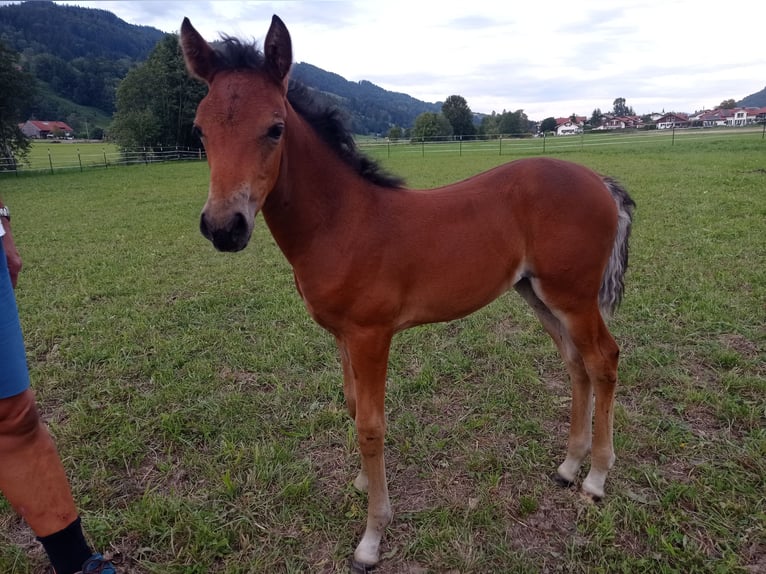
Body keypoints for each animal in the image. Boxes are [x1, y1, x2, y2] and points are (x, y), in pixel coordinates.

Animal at [180, 15, 636, 572]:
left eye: (275, 127)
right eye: (200, 130)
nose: (224, 228)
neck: (342, 222)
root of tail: (599, 180)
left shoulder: (371, 335)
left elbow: (372, 425)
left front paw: (372, 537)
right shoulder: (341, 335)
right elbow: (352, 406)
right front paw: (361, 482)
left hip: (574, 296)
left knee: (603, 359)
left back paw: (595, 478)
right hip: (538, 294)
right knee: (576, 363)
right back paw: (569, 466)